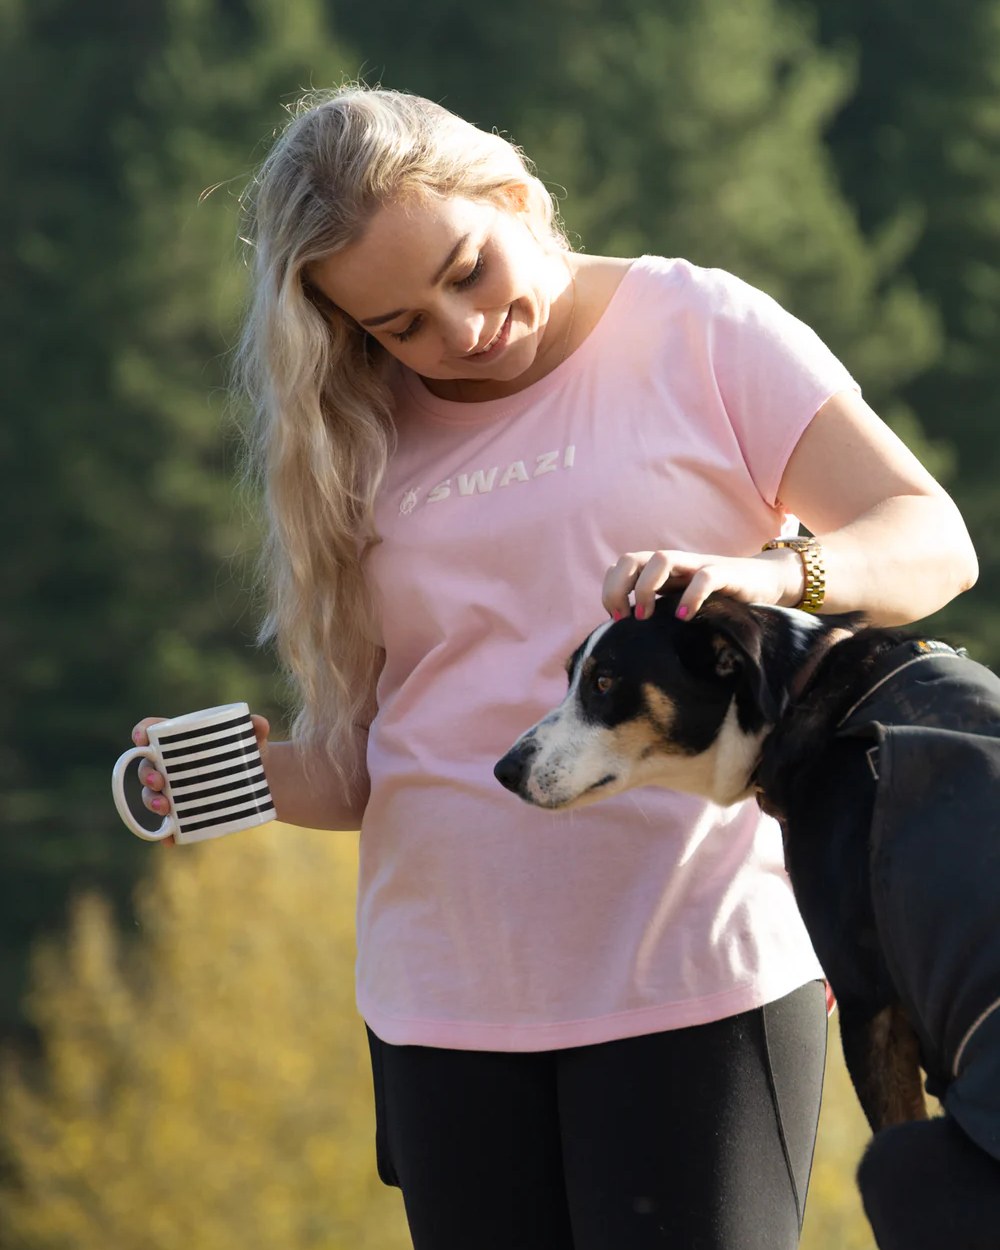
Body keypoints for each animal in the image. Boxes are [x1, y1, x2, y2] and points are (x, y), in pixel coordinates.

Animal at [495, 590, 1000, 1245]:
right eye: (570, 678)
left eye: (603, 683)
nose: (504, 770)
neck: (810, 692)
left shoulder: (869, 1004)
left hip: (895, 1160)